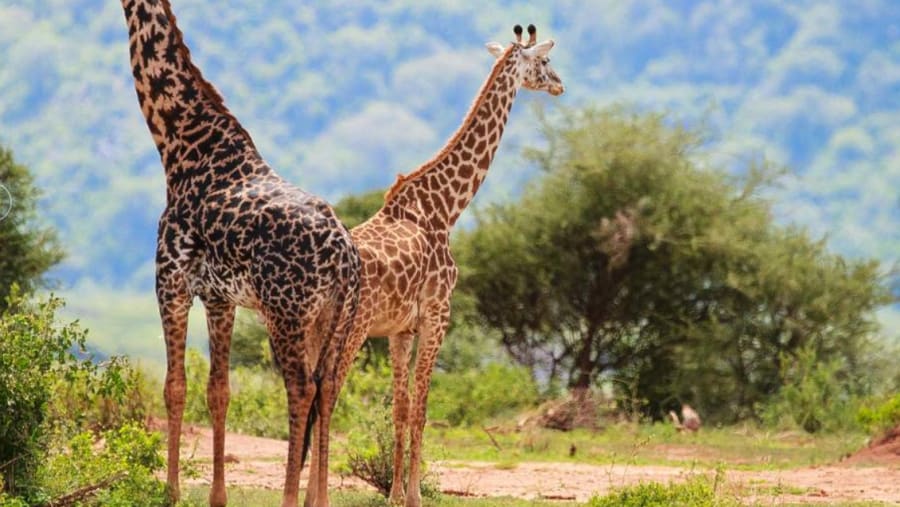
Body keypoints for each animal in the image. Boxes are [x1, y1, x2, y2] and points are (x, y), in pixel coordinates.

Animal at [119, 1, 359, 506]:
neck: (180, 149)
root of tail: (346, 260)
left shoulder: (170, 282)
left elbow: (174, 387)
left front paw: (171, 492)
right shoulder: (219, 297)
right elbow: (219, 390)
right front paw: (216, 496)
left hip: (287, 313)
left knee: (300, 389)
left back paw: (289, 499)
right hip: (334, 320)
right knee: (328, 388)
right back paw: (318, 498)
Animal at [311, 24, 564, 507]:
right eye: (543, 61)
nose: (560, 84)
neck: (445, 208)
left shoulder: (400, 329)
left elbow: (399, 408)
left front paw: (393, 493)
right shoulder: (437, 315)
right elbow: (422, 409)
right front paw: (413, 495)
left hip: (309, 327)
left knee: (306, 390)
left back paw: (301, 492)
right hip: (350, 329)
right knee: (328, 391)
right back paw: (319, 496)